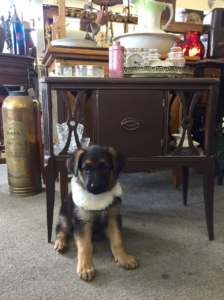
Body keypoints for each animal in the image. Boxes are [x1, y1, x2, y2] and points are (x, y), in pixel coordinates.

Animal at [54, 145, 138, 282]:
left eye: (105, 168)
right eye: (86, 169)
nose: (95, 187)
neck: (98, 199)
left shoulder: (113, 218)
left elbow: (117, 240)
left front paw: (123, 258)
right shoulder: (82, 222)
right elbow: (85, 246)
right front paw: (85, 267)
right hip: (64, 216)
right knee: (61, 229)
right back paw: (60, 242)